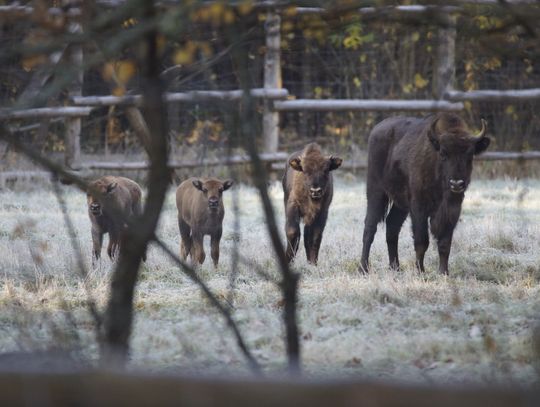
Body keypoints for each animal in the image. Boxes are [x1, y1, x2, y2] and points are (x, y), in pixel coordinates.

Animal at [360, 113, 492, 276]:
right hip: (376, 191)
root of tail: (376, 130)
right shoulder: (419, 208)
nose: (456, 183)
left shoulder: (452, 210)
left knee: (392, 226)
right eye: (443, 153)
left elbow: (445, 243)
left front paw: (443, 272)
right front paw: (420, 271)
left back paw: (395, 267)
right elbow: (421, 241)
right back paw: (363, 268)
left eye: (470, 155)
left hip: (400, 204)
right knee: (370, 227)